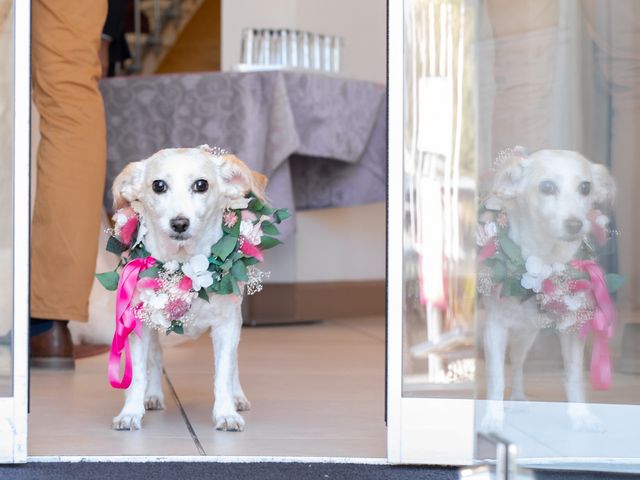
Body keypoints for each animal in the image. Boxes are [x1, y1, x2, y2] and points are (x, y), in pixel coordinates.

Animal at [110, 146, 268, 432]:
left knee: (234, 364)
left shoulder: (226, 326)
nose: (180, 223)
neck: (184, 265)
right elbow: (137, 374)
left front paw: (226, 412)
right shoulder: (140, 326)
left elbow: (224, 372)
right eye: (158, 185)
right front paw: (130, 411)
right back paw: (153, 395)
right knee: (156, 358)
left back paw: (238, 397)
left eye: (201, 185)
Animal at [480, 148, 616, 434]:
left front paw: (581, 416)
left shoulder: (572, 330)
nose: (576, 224)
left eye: (585, 188)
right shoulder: (494, 329)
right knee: (512, 363)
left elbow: (573, 374)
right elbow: (495, 377)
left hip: (526, 335)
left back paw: (518, 397)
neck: (545, 262)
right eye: (547, 187)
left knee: (517, 363)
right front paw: (493, 419)